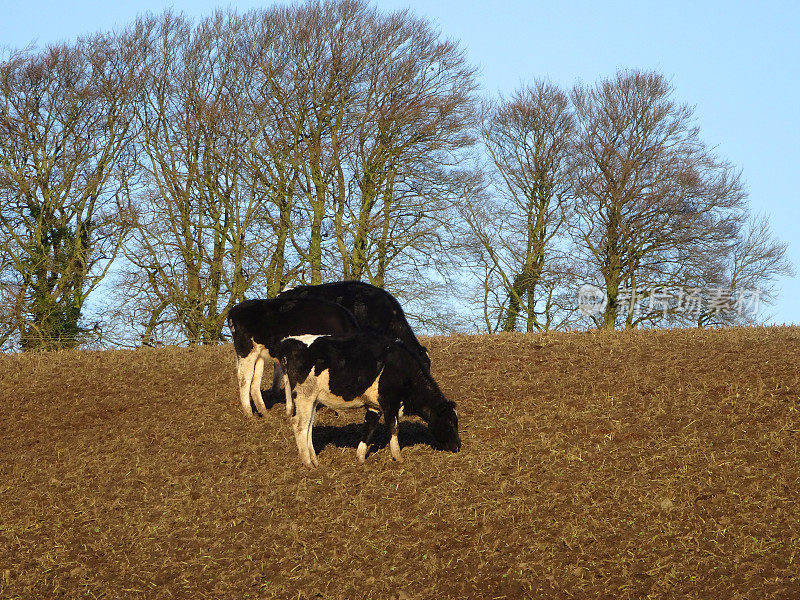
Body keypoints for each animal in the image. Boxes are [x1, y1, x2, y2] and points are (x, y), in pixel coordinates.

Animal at [227, 296, 360, 418]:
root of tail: (235, 310)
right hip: (246, 350)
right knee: (244, 378)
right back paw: (249, 413)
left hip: (259, 354)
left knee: (255, 382)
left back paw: (264, 412)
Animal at [276, 332, 460, 468]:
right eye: (450, 423)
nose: (458, 446)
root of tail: (288, 342)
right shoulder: (390, 402)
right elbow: (394, 428)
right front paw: (398, 457)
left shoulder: (375, 406)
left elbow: (369, 428)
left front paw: (361, 458)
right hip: (304, 395)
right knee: (299, 425)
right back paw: (308, 463)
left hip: (312, 399)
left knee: (308, 426)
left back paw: (314, 460)